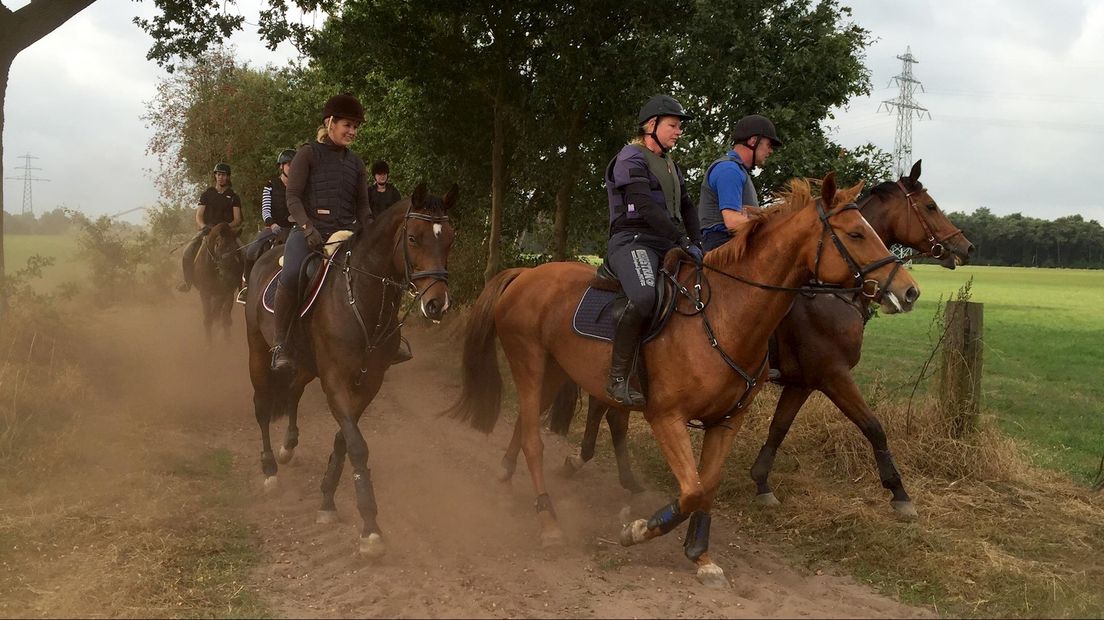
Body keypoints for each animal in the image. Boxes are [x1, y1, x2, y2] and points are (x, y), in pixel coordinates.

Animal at [247, 182, 457, 556]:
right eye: (413, 238)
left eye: (449, 239)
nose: (437, 304)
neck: (360, 297)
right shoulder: (335, 380)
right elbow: (357, 445)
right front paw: (370, 527)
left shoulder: (369, 382)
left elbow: (344, 440)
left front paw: (327, 500)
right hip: (258, 352)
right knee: (261, 406)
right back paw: (270, 469)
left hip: (305, 364)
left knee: (293, 392)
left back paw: (288, 447)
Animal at [448, 170, 922, 582]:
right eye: (856, 234)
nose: (910, 291)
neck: (725, 315)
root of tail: (526, 274)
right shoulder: (671, 416)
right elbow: (692, 488)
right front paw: (639, 529)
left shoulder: (730, 419)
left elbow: (708, 484)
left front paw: (700, 554)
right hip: (530, 365)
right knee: (538, 438)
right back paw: (549, 521)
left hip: (553, 372)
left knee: (532, 424)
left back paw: (508, 479)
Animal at [540, 157, 975, 516]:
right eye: (930, 206)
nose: (965, 246)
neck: (825, 293)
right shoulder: (832, 374)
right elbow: (872, 426)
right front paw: (899, 493)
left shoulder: (802, 382)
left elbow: (778, 428)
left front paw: (762, 481)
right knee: (605, 406)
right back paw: (587, 463)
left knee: (608, 408)